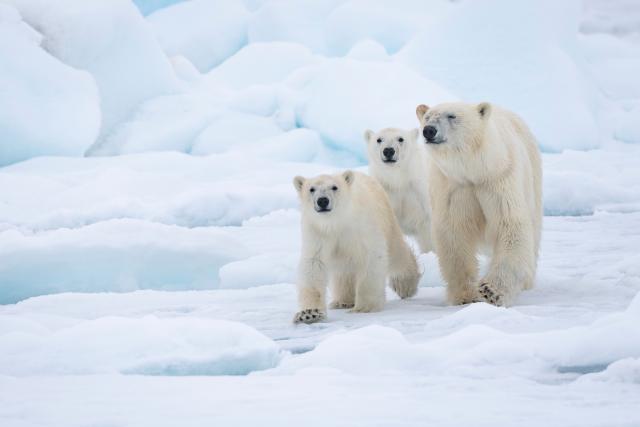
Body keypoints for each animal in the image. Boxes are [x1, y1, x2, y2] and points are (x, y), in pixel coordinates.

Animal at [292, 170, 421, 324]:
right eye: (311, 189)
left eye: (334, 187)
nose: (322, 200)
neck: (336, 222)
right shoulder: (317, 231)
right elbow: (313, 264)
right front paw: (309, 313)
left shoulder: (362, 227)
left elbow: (371, 257)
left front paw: (364, 307)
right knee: (344, 270)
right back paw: (342, 301)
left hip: (387, 218)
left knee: (396, 253)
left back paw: (404, 285)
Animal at [415, 102, 542, 307]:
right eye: (427, 117)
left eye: (452, 116)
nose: (429, 130)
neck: (475, 170)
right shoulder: (453, 187)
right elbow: (454, 233)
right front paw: (465, 295)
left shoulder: (499, 179)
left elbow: (510, 225)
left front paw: (491, 291)